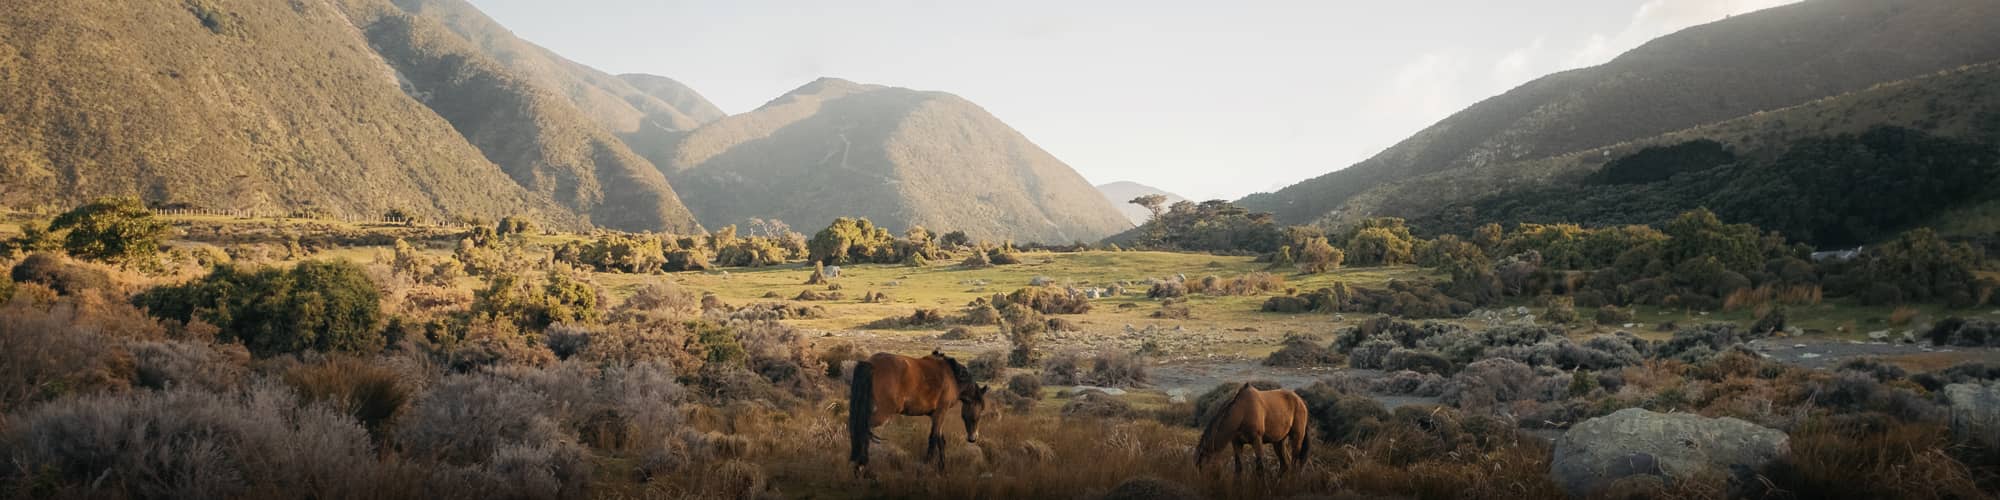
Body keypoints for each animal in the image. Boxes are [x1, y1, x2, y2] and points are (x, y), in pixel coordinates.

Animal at [852, 350, 992, 474]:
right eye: (981, 411)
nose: (973, 438)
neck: (952, 376)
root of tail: (870, 364)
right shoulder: (940, 413)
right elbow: (933, 440)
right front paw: (926, 467)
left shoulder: (937, 416)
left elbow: (941, 441)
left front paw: (942, 469)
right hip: (880, 415)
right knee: (862, 432)